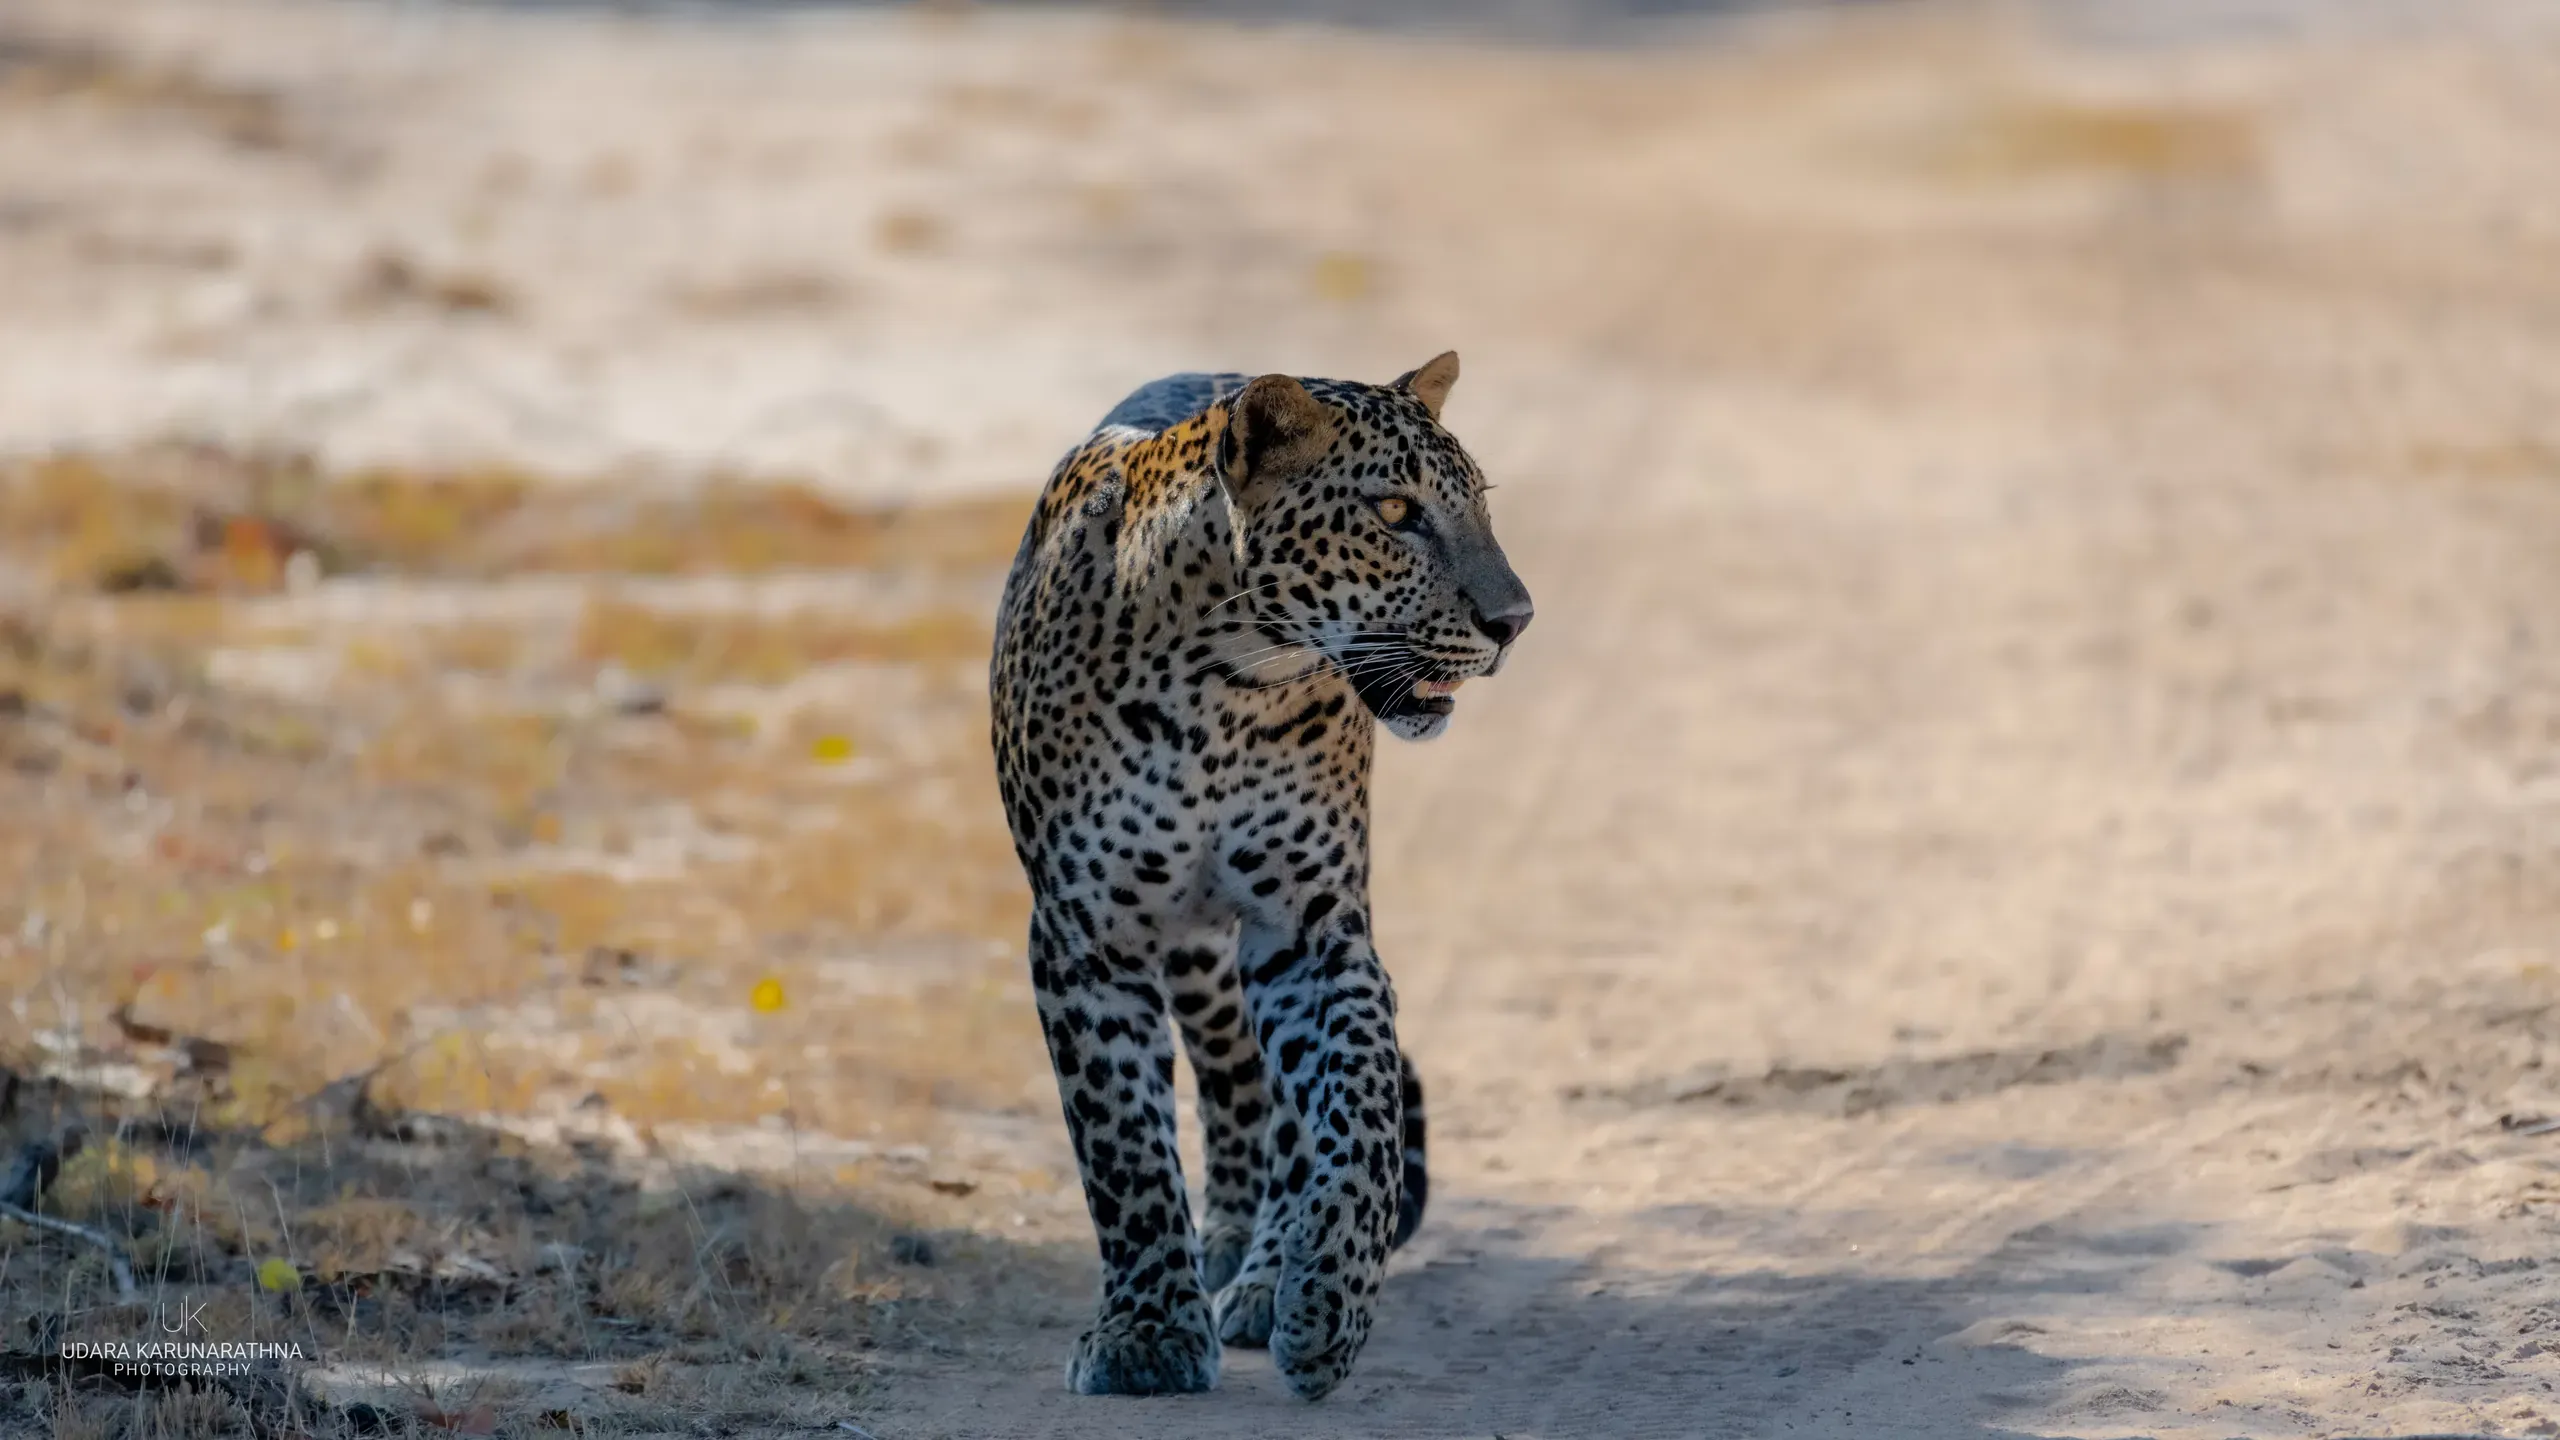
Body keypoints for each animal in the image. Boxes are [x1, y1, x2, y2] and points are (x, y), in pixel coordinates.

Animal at [987, 352, 1533, 1401]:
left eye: (1479, 507)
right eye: (1396, 511)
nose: (1515, 621)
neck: (1226, 684)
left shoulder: (1311, 932)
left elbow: (1358, 1113)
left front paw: (1328, 1300)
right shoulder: (1084, 939)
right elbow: (1122, 1144)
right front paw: (1149, 1332)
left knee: (1285, 1109)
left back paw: (1268, 1274)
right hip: (1193, 954)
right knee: (1231, 1073)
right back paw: (1232, 1245)